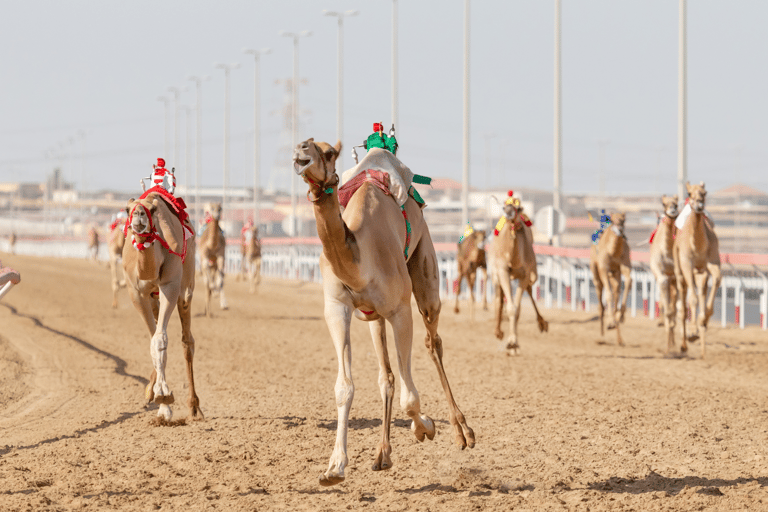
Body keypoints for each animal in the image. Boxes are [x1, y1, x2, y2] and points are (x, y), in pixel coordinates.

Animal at [122, 192, 201, 420]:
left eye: (154, 210)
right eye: (127, 209)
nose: (139, 214)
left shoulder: (170, 285)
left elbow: (160, 339)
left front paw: (164, 398)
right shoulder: (136, 293)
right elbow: (153, 339)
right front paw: (158, 397)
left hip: (186, 287)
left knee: (187, 341)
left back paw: (194, 406)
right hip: (152, 297)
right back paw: (150, 389)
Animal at [292, 140, 474, 488]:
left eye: (329, 152)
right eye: (305, 145)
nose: (300, 151)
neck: (360, 260)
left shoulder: (401, 310)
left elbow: (410, 398)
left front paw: (426, 427)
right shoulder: (337, 308)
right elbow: (344, 387)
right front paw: (334, 467)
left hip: (425, 270)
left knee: (433, 343)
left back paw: (462, 431)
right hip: (373, 316)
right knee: (386, 375)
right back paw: (383, 454)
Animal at [488, 197, 548, 356]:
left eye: (518, 208)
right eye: (504, 206)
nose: (508, 212)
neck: (512, 258)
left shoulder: (525, 274)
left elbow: (517, 308)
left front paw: (513, 344)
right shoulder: (503, 270)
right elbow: (510, 307)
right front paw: (510, 343)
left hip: (532, 274)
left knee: (529, 291)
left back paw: (542, 323)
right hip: (495, 273)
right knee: (499, 296)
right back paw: (497, 331)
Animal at [592, 210, 632, 346]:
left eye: (624, 220)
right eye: (613, 220)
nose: (620, 230)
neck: (613, 252)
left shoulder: (624, 266)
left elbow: (629, 282)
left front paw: (621, 316)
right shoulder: (604, 269)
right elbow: (608, 295)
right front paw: (610, 323)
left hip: (615, 274)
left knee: (616, 292)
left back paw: (618, 336)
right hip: (596, 273)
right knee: (601, 301)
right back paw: (601, 335)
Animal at [672, 182, 720, 358]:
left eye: (704, 192)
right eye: (689, 193)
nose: (699, 205)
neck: (697, 244)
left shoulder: (712, 262)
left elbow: (716, 280)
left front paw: (704, 320)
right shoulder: (687, 263)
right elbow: (691, 299)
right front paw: (692, 333)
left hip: (700, 273)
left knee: (701, 291)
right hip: (680, 272)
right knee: (683, 299)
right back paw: (685, 343)